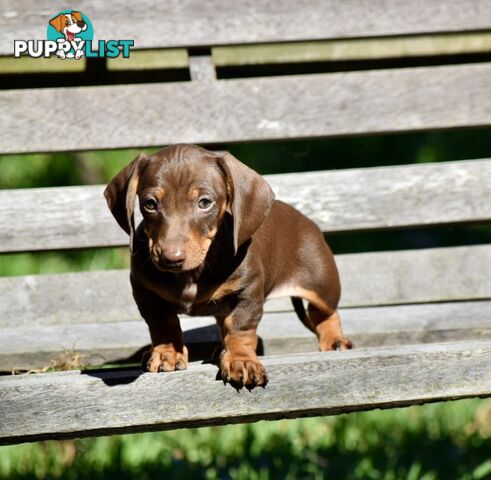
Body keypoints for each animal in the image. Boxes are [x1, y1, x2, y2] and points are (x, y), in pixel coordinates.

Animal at [105, 144, 352, 388]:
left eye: (205, 202)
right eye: (150, 204)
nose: (170, 259)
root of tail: (305, 219)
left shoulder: (248, 292)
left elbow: (240, 328)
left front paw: (241, 361)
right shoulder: (145, 292)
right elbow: (163, 324)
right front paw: (168, 352)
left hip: (322, 284)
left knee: (326, 313)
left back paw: (335, 340)